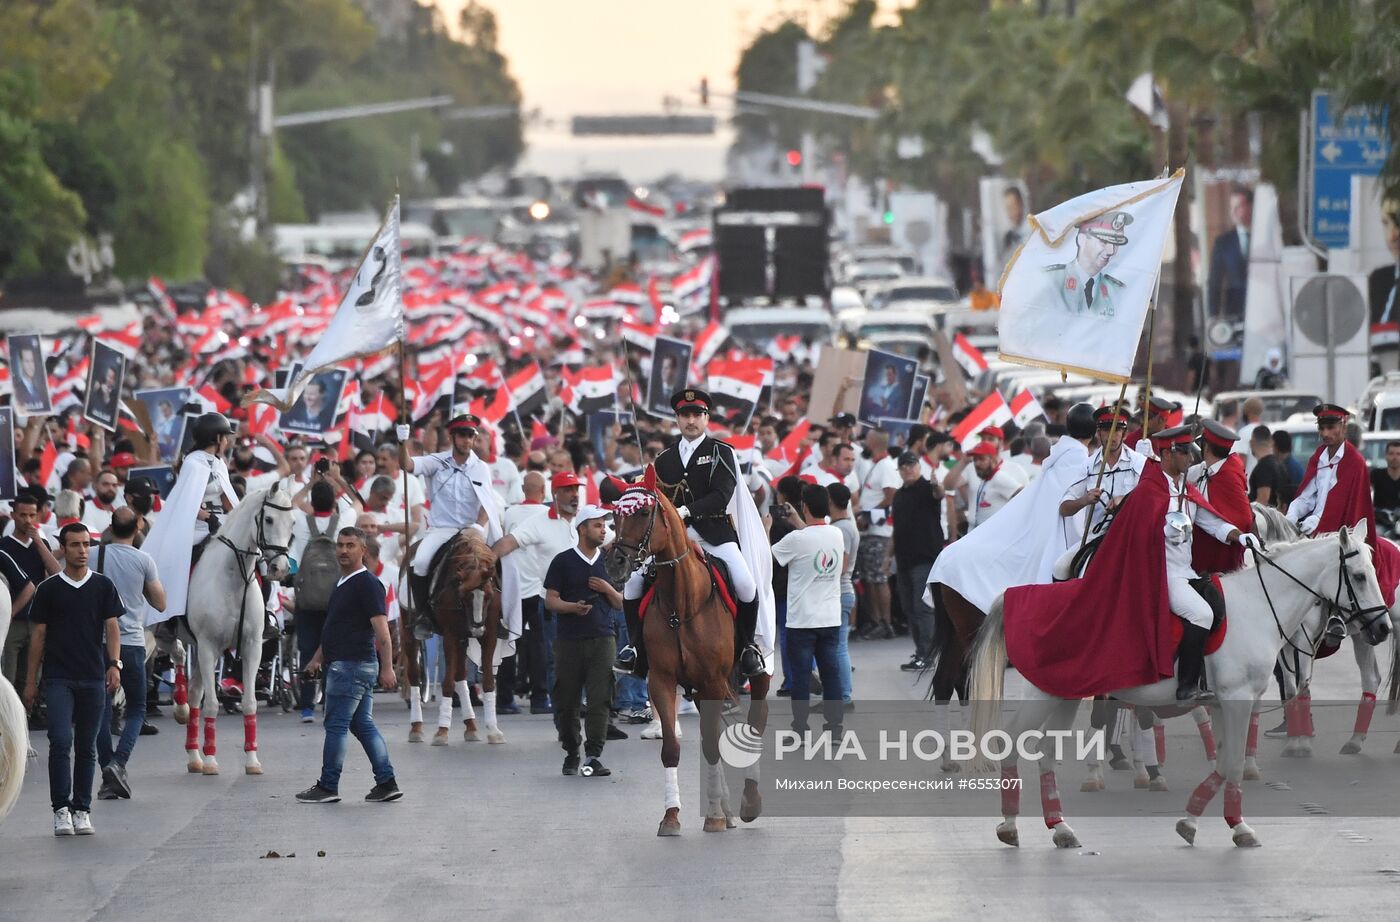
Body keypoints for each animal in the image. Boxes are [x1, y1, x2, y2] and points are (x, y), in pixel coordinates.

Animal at [170, 486, 295, 777]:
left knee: (194, 690)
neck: (231, 578)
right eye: (269, 519)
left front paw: (252, 760)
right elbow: (213, 704)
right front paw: (211, 761)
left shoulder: (251, 646)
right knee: (176, 653)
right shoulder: (207, 646)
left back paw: (194, 756)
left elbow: (249, 702)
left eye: (293, 523)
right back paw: (180, 709)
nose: (281, 569)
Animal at [403, 528, 506, 744]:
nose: (477, 629)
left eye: (489, 596)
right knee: (415, 675)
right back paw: (416, 727)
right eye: (463, 595)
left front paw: (493, 730)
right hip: (409, 630)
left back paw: (471, 726)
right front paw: (442, 731)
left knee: (460, 675)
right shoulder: (450, 635)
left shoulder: (490, 634)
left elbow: (488, 681)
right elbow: (447, 683)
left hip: (463, 638)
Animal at [607, 484, 772, 839]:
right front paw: (671, 816)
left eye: (644, 512)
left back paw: (749, 801)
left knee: (755, 723)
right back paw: (728, 807)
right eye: (615, 514)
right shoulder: (663, 680)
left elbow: (710, 746)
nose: (615, 563)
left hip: (752, 676)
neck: (681, 606)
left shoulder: (712, 682)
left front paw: (714, 816)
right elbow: (672, 748)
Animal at [968, 526, 1394, 850]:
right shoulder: (1237, 700)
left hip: (1064, 695)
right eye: (1359, 576)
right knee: (1012, 743)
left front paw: (1197, 821)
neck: (1257, 606)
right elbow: (1232, 762)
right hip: (1043, 696)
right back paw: (1010, 825)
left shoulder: (1223, 704)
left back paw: (1060, 828)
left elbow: (1223, 762)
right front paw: (1236, 827)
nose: (1383, 628)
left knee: (1044, 754)